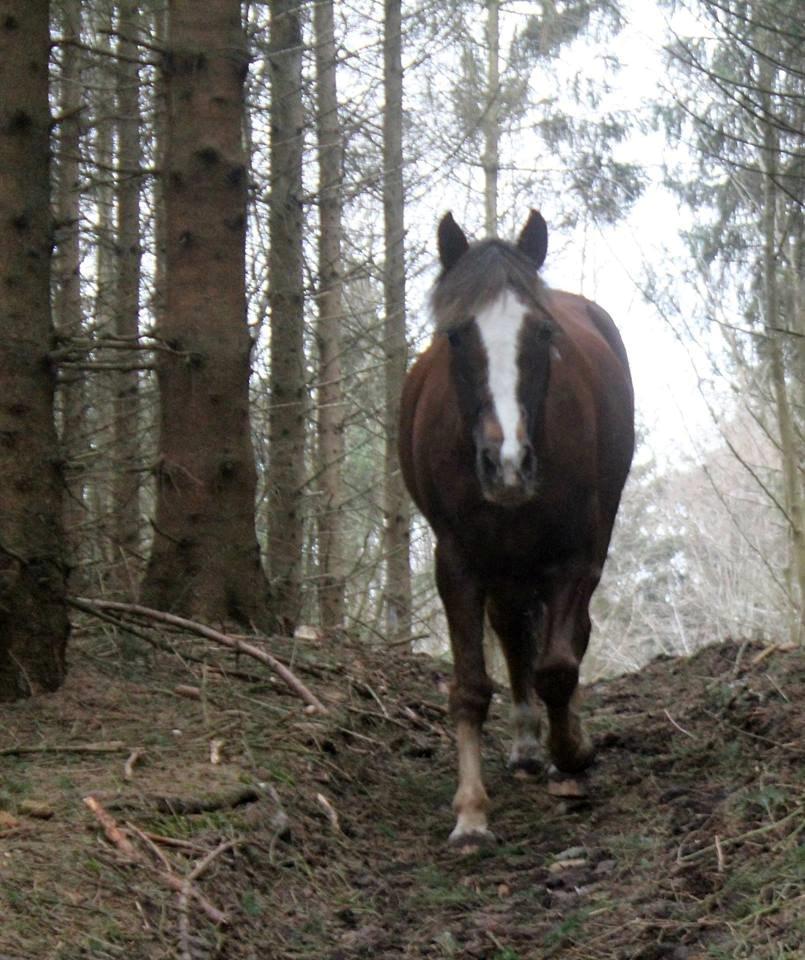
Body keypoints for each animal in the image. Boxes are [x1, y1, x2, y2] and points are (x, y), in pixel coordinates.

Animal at [398, 212, 636, 848]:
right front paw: (471, 812)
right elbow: (471, 685)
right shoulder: (456, 559)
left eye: (543, 332)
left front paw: (572, 750)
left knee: (566, 637)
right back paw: (528, 743)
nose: (506, 463)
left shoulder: (574, 556)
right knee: (509, 629)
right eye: (456, 335)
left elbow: (558, 665)